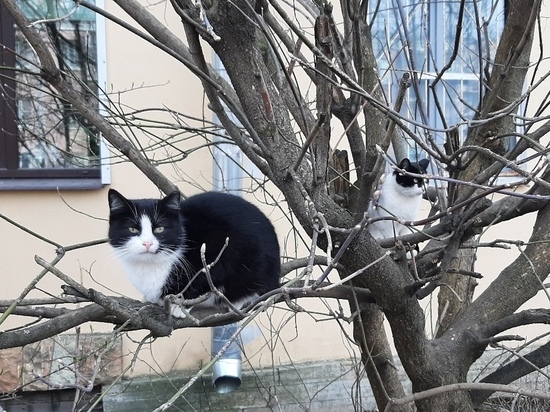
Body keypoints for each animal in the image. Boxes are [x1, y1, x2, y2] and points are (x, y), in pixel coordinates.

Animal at [108, 188, 280, 318]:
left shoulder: (216, 248)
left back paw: (239, 301)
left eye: (160, 229)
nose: (147, 243)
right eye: (133, 229)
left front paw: (180, 305)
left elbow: (204, 280)